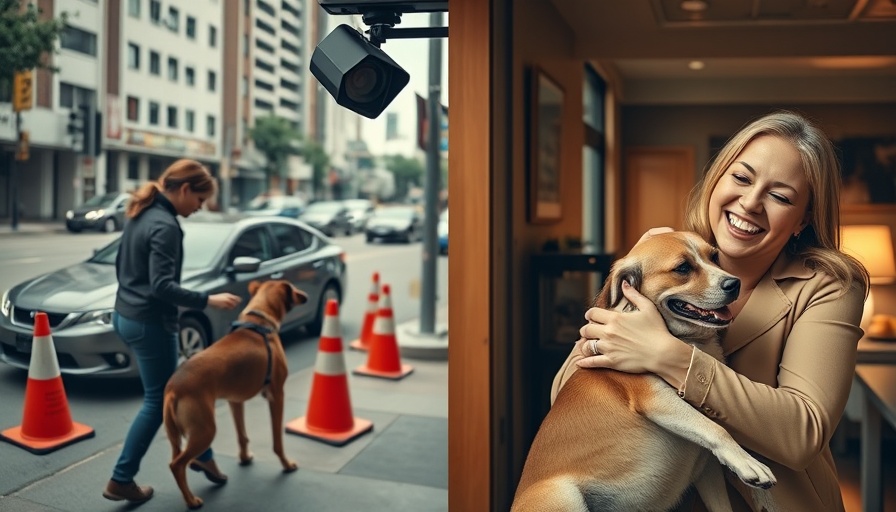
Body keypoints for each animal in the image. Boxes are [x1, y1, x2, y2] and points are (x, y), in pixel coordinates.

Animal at [164, 280, 308, 508]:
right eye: (293, 288)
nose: (305, 296)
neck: (259, 321)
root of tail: (173, 389)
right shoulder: (277, 395)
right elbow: (277, 440)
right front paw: (286, 464)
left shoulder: (235, 401)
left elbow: (242, 435)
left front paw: (244, 458)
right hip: (205, 430)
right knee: (177, 465)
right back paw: (191, 501)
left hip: (176, 436)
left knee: (178, 460)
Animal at [512, 232, 776, 512]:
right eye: (683, 268)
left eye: (714, 257)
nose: (734, 283)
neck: (689, 341)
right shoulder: (656, 398)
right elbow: (715, 428)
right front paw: (749, 463)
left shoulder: (706, 469)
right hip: (563, 495)